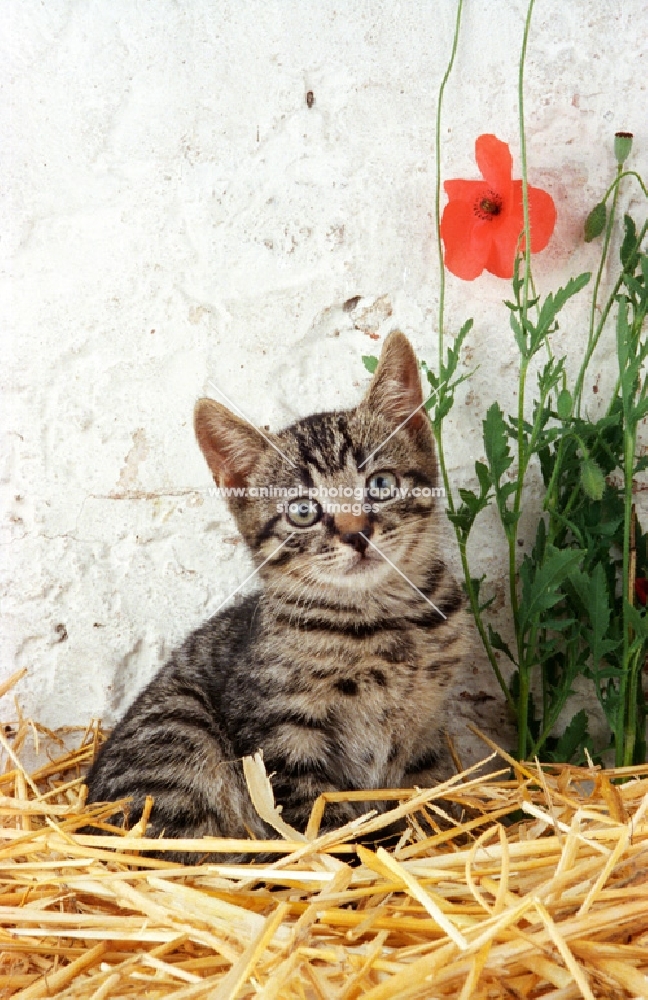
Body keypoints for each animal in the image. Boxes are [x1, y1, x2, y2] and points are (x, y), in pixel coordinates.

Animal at [86, 330, 468, 860]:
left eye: (381, 484)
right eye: (303, 511)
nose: (357, 533)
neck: (381, 618)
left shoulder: (426, 727)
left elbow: (424, 794)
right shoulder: (280, 735)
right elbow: (315, 819)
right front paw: (341, 858)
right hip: (180, 730)